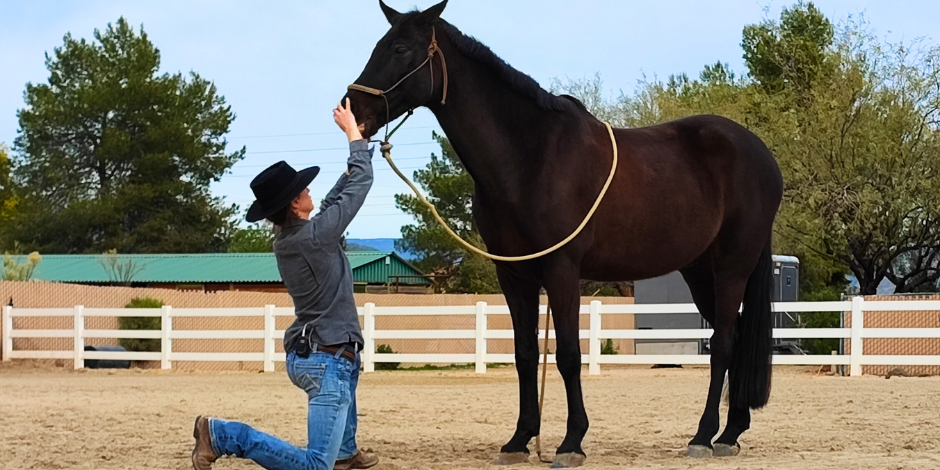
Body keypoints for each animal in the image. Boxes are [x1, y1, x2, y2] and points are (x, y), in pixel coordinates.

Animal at [344, 1, 783, 467]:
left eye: (401, 49)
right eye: (380, 45)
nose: (352, 109)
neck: (530, 156)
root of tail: (761, 153)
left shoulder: (562, 270)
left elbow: (570, 355)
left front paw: (572, 441)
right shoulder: (514, 276)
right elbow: (524, 354)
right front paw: (520, 439)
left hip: (732, 267)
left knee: (723, 343)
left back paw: (704, 435)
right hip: (699, 272)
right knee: (737, 338)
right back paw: (731, 431)